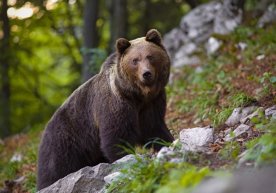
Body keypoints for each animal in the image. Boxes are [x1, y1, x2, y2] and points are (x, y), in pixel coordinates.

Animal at [37, 28, 175, 190]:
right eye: (135, 60)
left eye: (150, 56)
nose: (146, 73)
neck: (137, 95)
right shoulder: (115, 104)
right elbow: (117, 136)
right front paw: (124, 160)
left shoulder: (152, 104)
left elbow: (155, 129)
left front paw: (168, 142)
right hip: (64, 142)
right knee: (55, 170)